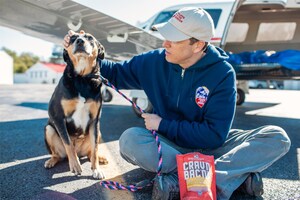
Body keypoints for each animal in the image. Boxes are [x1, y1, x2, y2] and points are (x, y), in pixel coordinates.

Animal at [44, 30, 108, 180]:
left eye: (90, 38)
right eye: (72, 38)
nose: (79, 41)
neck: (82, 78)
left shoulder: (95, 120)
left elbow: (95, 148)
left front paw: (96, 169)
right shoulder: (56, 116)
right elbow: (68, 143)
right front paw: (75, 165)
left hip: (98, 132)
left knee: (91, 153)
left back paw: (99, 159)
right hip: (49, 129)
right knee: (59, 154)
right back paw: (51, 161)